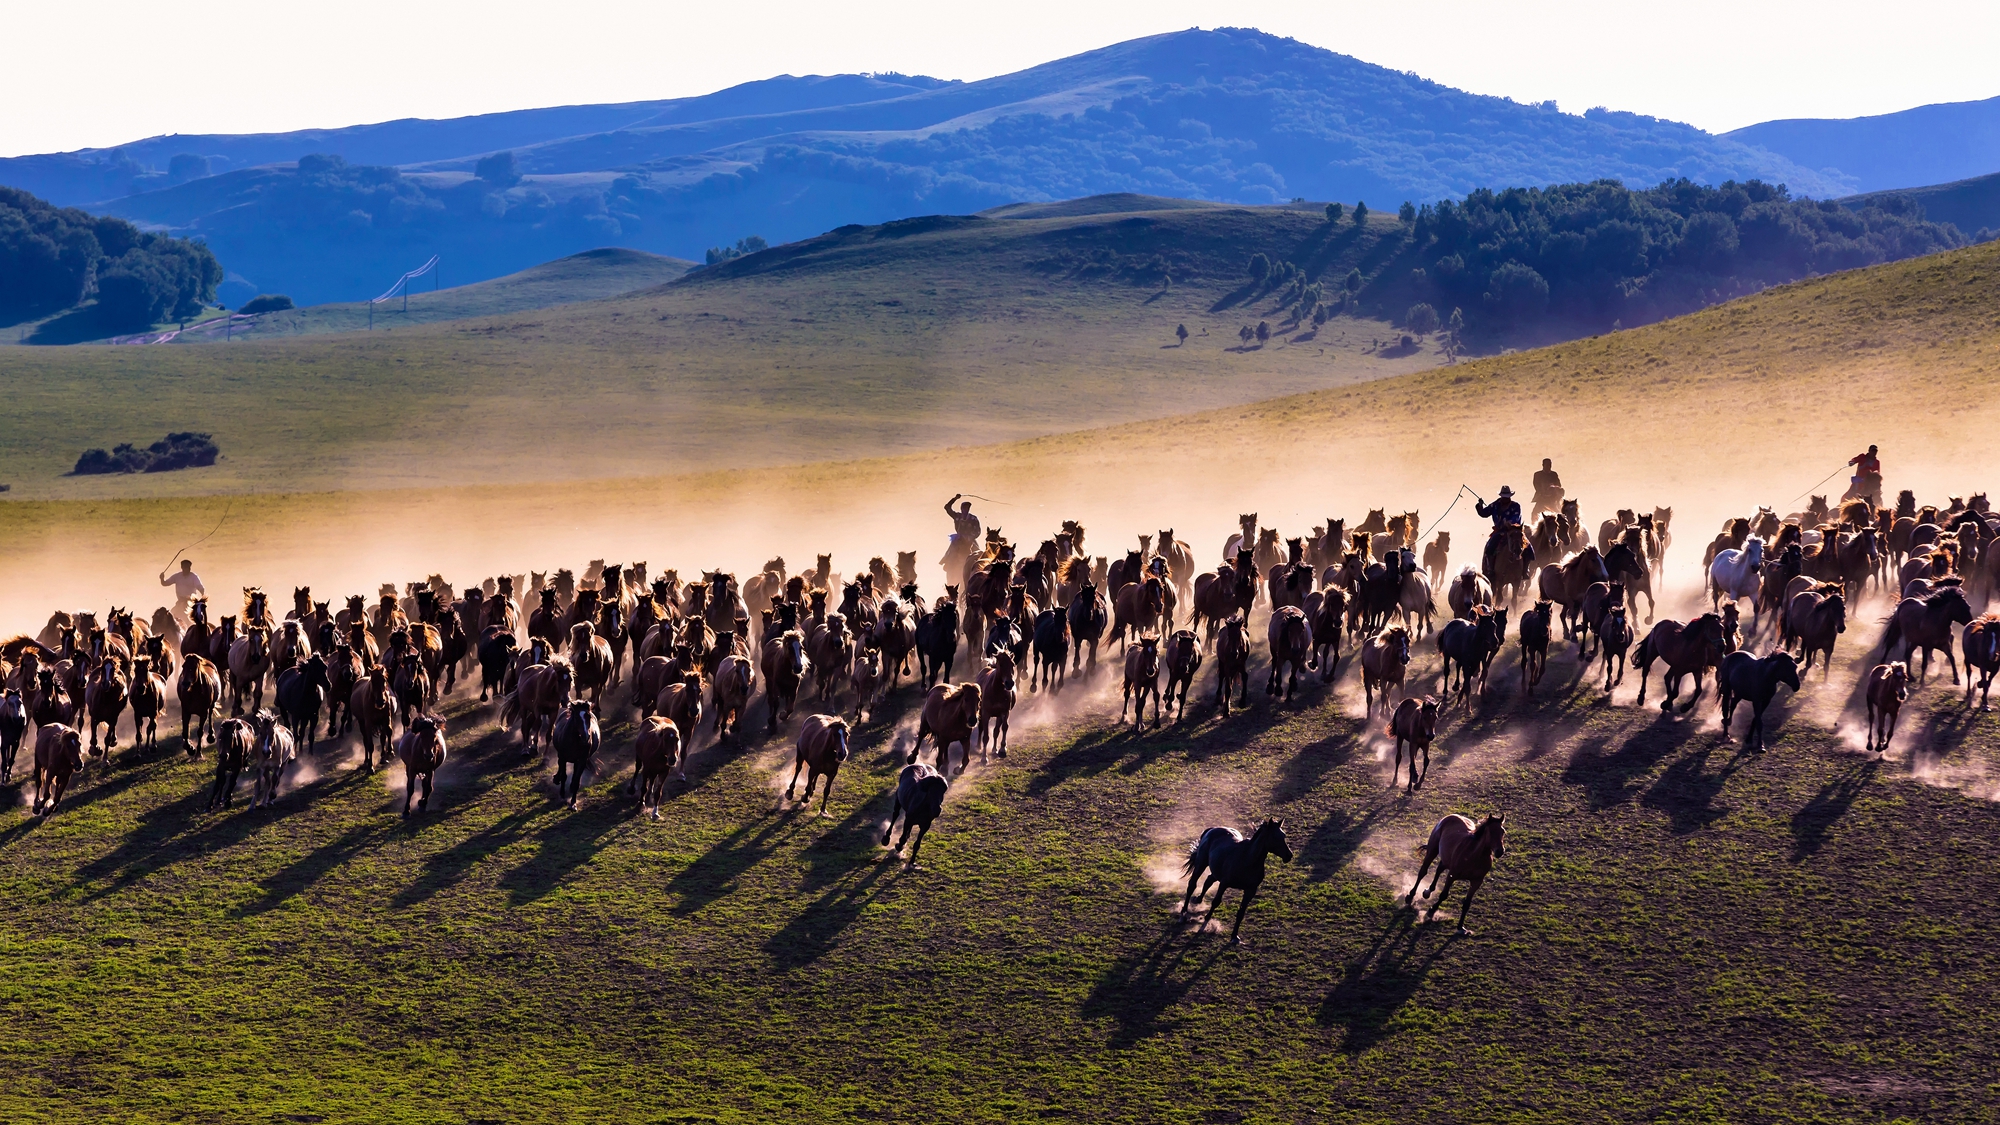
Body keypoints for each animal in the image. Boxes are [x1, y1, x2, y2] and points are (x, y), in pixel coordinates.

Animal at [1168, 812, 1296, 936]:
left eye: (1284, 836)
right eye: (1275, 837)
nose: (1289, 855)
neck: (1247, 859)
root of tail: (1212, 829)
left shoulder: (1251, 890)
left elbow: (1241, 912)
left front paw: (1234, 936)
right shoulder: (1224, 883)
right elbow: (1216, 902)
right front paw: (1205, 924)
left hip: (1216, 871)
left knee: (1209, 879)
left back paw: (1197, 900)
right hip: (1201, 864)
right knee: (1192, 885)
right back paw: (1183, 914)